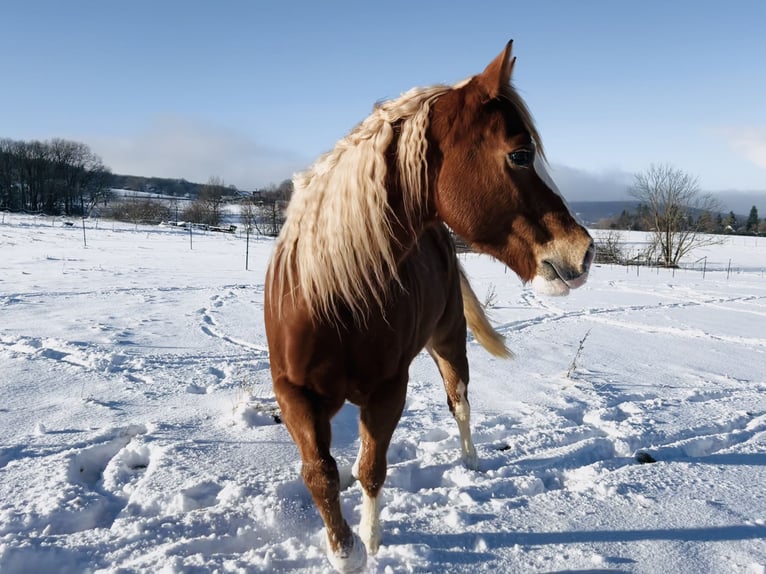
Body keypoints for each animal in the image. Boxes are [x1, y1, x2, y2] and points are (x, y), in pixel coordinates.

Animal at [264, 42, 592, 572]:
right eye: (520, 154)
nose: (583, 252)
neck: (332, 296)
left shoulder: (387, 391)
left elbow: (372, 468)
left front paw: (371, 541)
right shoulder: (293, 393)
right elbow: (320, 471)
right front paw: (343, 549)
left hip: (449, 343)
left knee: (460, 402)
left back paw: (470, 460)